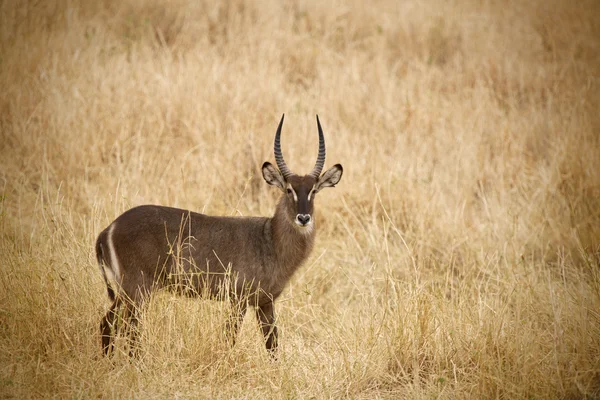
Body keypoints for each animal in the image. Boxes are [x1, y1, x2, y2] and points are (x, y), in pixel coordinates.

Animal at [96, 114, 344, 354]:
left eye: (314, 190)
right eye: (289, 189)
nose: (303, 218)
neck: (270, 239)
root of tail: (108, 229)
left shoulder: (265, 302)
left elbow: (272, 345)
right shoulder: (238, 299)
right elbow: (229, 338)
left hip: (126, 292)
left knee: (108, 323)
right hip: (137, 290)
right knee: (127, 329)